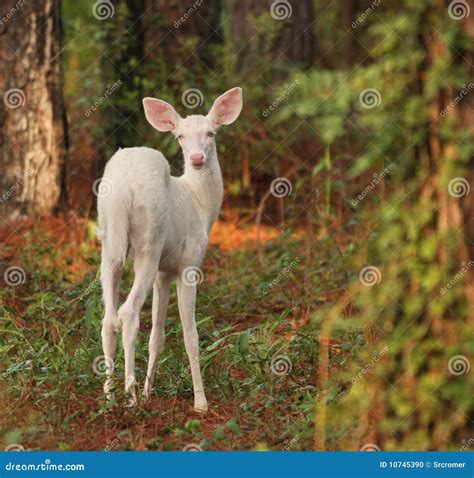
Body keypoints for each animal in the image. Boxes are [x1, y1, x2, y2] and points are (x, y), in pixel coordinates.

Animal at [97, 87, 243, 410]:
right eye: (180, 137)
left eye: (211, 133)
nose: (198, 157)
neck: (200, 203)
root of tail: (125, 185)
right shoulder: (189, 263)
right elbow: (190, 334)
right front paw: (200, 401)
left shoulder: (165, 272)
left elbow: (158, 335)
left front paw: (150, 391)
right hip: (148, 242)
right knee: (128, 311)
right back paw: (129, 396)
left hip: (110, 241)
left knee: (108, 317)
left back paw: (110, 395)